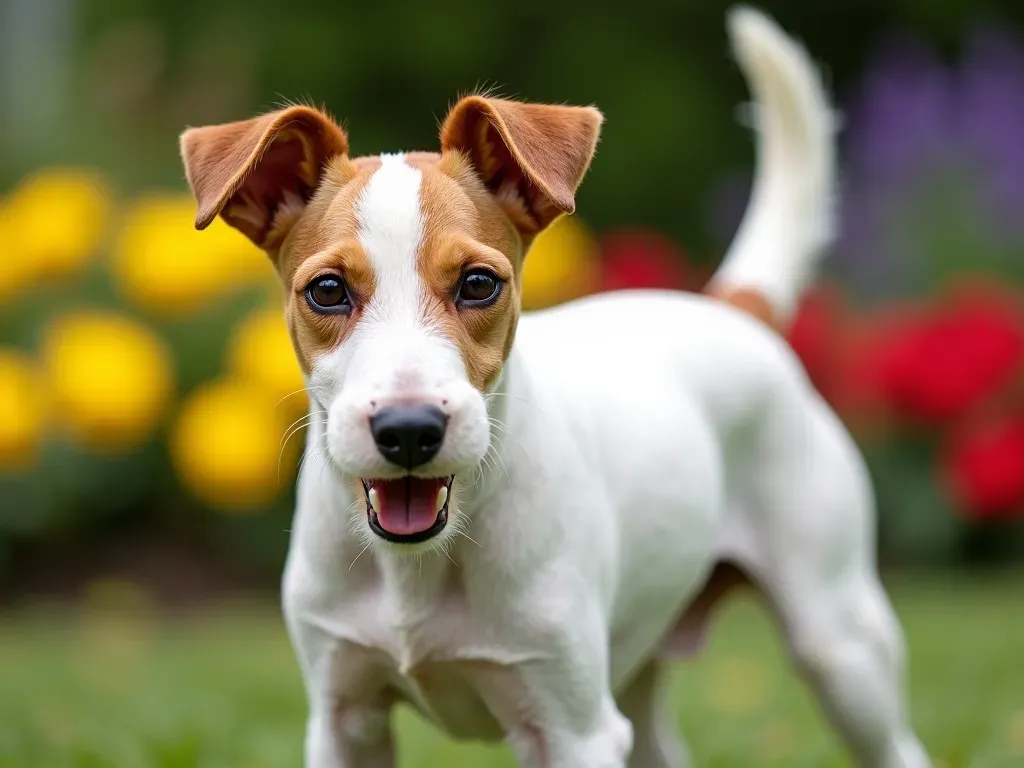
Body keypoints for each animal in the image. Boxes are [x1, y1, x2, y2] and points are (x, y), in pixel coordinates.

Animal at [180, 7, 933, 768]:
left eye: (478, 283)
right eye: (327, 291)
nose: (409, 430)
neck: (420, 565)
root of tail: (730, 309)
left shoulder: (573, 727)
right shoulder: (343, 717)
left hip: (841, 643)